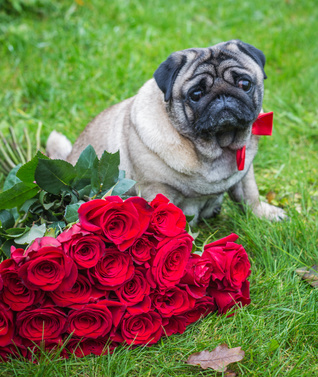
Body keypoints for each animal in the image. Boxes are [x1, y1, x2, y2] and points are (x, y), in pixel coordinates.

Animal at [46, 39, 286, 222]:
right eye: (196, 94)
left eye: (245, 84)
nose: (222, 95)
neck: (214, 147)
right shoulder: (157, 190)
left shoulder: (244, 172)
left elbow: (250, 195)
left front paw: (264, 214)